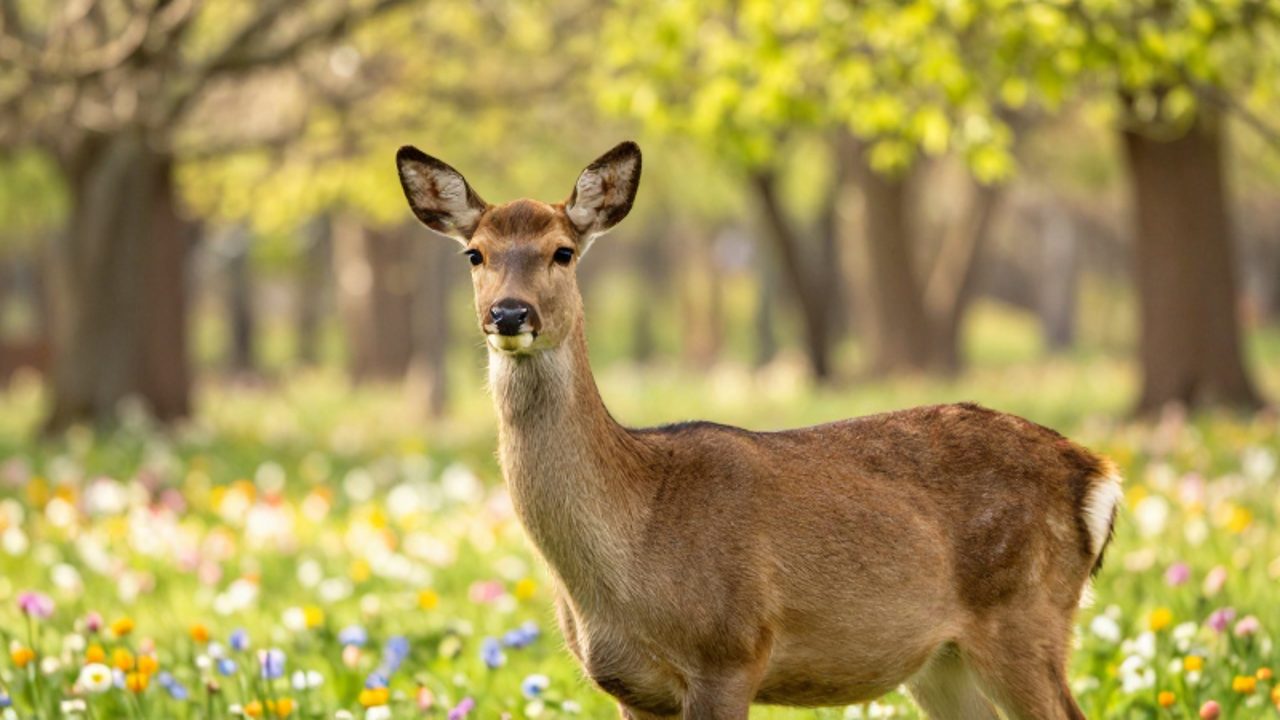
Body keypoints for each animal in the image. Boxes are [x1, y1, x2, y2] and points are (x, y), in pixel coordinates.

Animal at [396, 140, 1124, 720]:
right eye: (474, 254)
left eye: (563, 252)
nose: (509, 313)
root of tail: (1100, 474)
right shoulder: (631, 687)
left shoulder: (731, 649)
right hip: (943, 660)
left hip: (1025, 612)